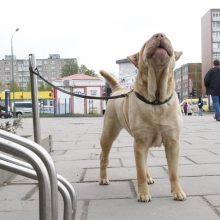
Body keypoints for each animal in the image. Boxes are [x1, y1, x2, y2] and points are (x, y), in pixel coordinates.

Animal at [99, 33, 186, 203]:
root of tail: (118, 89)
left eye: (168, 38)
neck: (156, 100)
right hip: (109, 133)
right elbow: (139, 171)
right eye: (145, 44)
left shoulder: (173, 142)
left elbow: (173, 171)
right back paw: (103, 178)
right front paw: (143, 194)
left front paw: (178, 192)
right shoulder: (140, 142)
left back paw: (149, 177)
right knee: (104, 156)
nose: (159, 34)